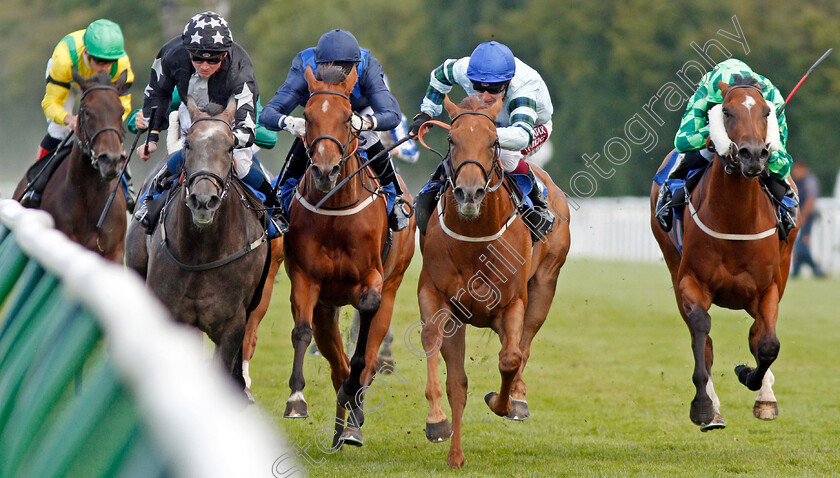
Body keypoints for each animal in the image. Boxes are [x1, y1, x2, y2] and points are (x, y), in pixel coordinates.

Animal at [280, 66, 416, 448]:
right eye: (308, 116)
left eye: (346, 118)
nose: (325, 171)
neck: (336, 210)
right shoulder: (306, 278)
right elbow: (301, 331)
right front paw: (296, 399)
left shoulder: (372, 278)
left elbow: (364, 333)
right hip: (327, 309)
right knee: (336, 364)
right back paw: (341, 428)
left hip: (392, 286)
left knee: (365, 358)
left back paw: (353, 422)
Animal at [418, 95, 572, 468]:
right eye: (451, 140)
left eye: (493, 142)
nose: (469, 193)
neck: (475, 240)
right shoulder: (438, 298)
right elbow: (448, 370)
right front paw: (440, 428)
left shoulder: (512, 304)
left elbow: (510, 359)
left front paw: (501, 402)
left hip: (544, 285)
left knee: (524, 346)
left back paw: (518, 397)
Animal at [652, 77, 796, 430]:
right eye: (727, 112)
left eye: (767, 111)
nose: (753, 154)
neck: (736, 220)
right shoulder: (691, 282)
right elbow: (702, 333)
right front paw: (704, 407)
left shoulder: (768, 288)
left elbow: (767, 343)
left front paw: (752, 381)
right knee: (703, 337)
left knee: (759, 334)